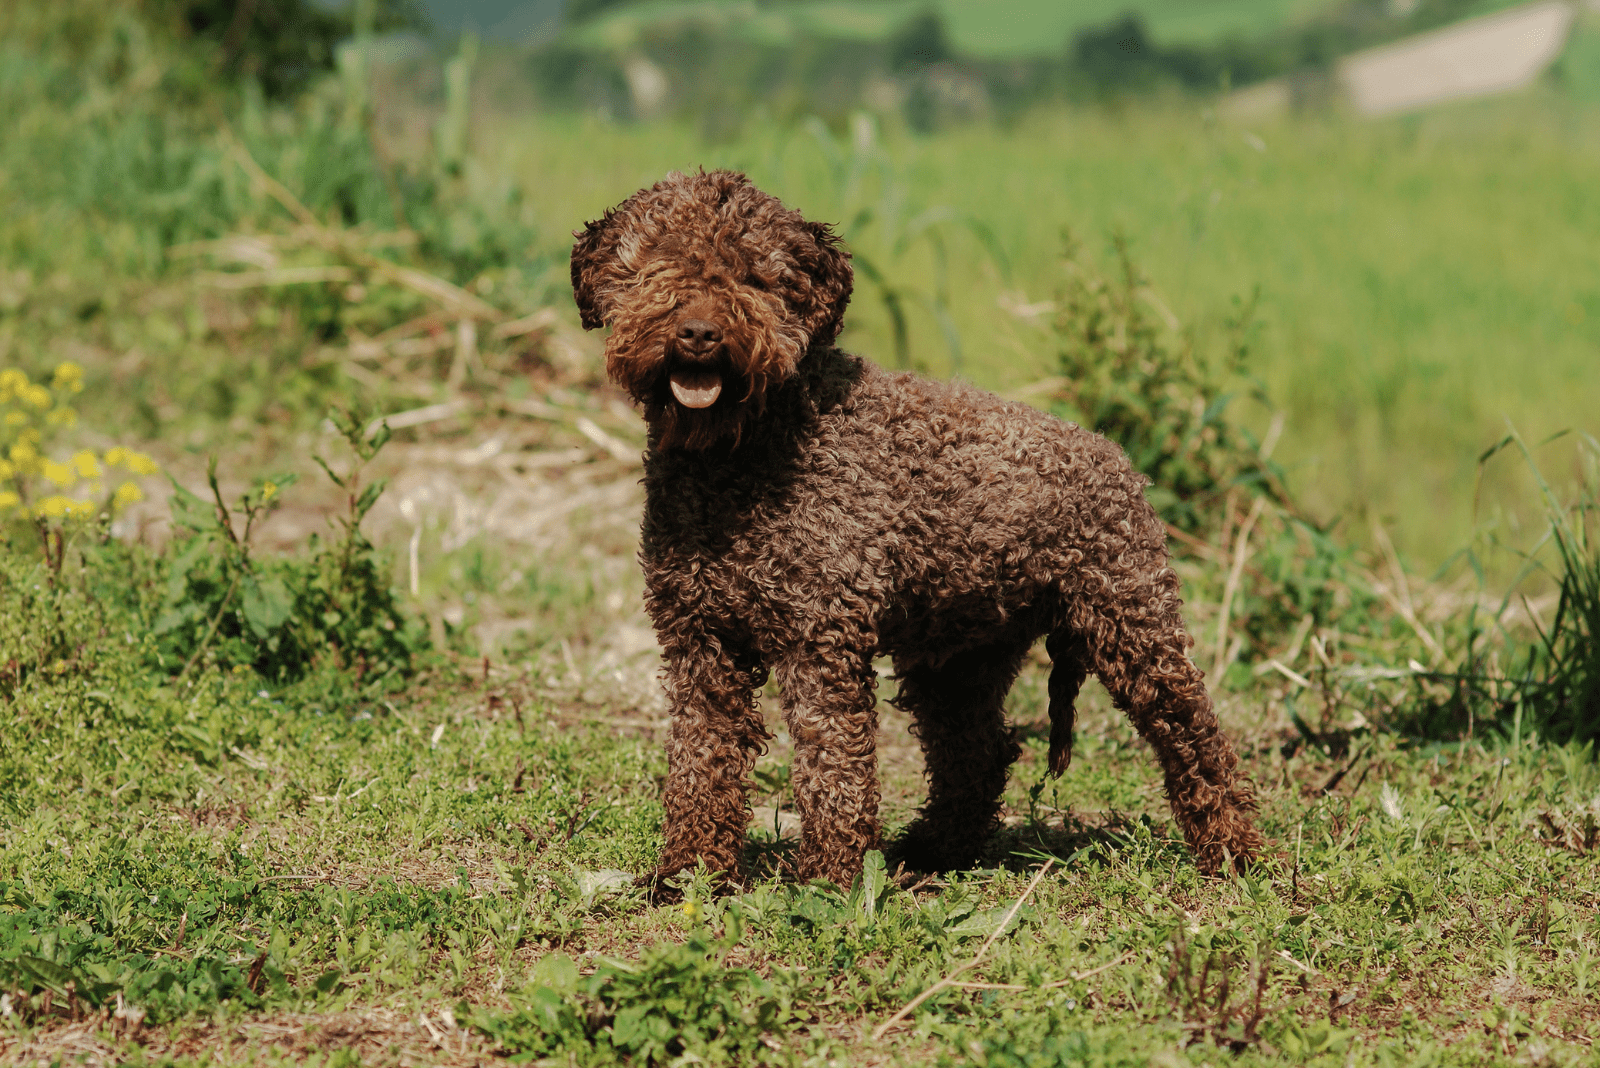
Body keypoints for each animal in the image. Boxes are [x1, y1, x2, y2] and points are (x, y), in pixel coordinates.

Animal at [576, 171, 1260, 888]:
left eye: (756, 276)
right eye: (658, 264)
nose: (700, 333)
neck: (743, 453)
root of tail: (1118, 458)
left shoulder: (820, 640)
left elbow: (831, 767)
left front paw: (828, 882)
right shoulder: (699, 640)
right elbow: (698, 763)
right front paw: (688, 875)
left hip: (1131, 623)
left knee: (1196, 738)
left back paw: (1235, 853)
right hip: (957, 655)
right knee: (978, 757)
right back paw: (934, 852)